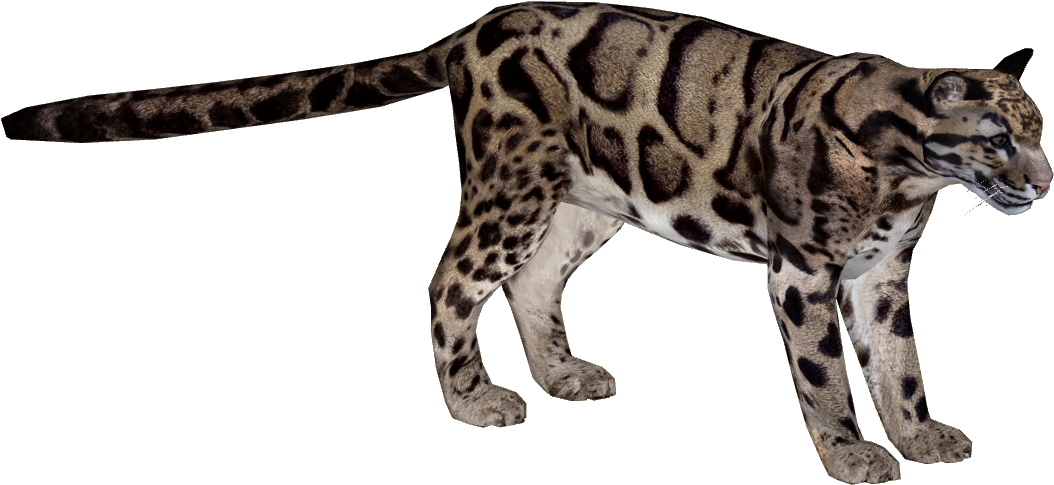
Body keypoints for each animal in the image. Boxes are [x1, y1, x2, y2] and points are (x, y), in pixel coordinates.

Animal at [3, 3, 1048, 483]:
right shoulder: (804, 273)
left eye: (1041, 129)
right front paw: (852, 453)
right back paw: (476, 400)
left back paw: (559, 374)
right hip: (510, 188)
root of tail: (473, 29)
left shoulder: (882, 276)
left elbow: (902, 366)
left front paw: (917, 432)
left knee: (532, 283)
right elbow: (828, 377)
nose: (1045, 182)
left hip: (582, 202)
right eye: (998, 136)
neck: (911, 173)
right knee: (449, 282)